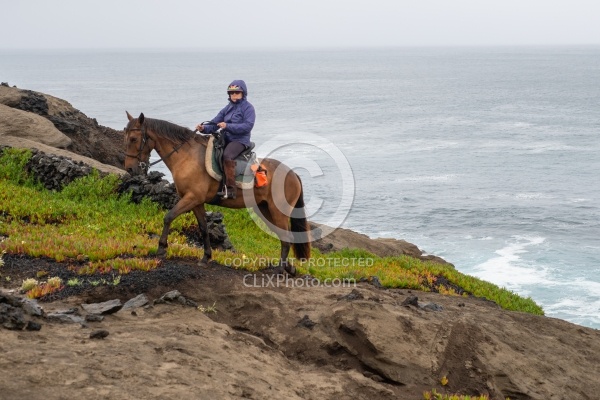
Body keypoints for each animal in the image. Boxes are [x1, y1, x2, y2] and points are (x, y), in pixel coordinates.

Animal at [122, 112, 310, 276]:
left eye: (133, 139)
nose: (129, 168)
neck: (187, 156)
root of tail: (292, 174)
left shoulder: (191, 198)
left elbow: (168, 217)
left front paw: (161, 248)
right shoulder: (196, 202)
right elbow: (204, 228)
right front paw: (206, 257)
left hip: (278, 211)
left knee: (286, 238)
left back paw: (280, 270)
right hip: (266, 210)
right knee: (285, 237)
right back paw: (289, 268)